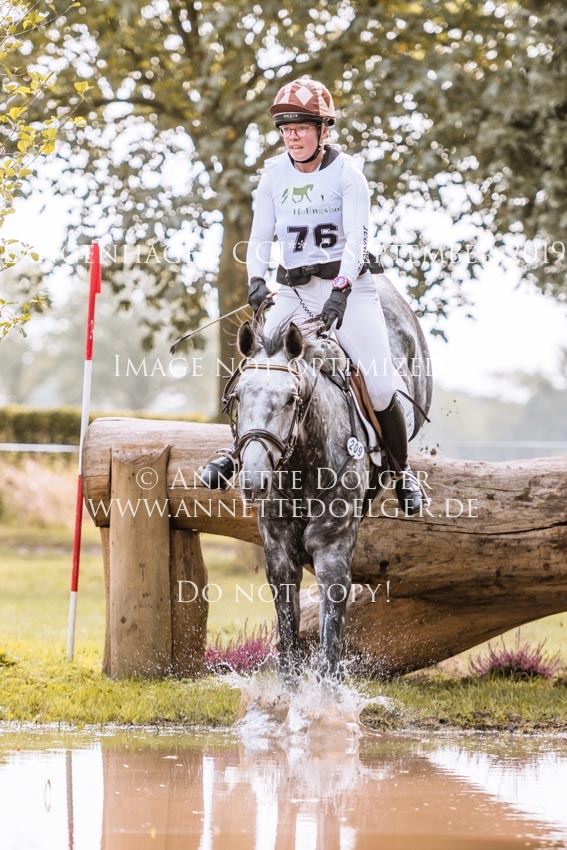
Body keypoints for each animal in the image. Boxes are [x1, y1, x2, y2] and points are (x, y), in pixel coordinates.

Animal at [226, 275, 432, 683]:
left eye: (291, 399)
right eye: (238, 396)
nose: (254, 480)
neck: (301, 468)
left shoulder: (332, 552)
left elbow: (329, 646)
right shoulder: (279, 556)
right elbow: (289, 644)